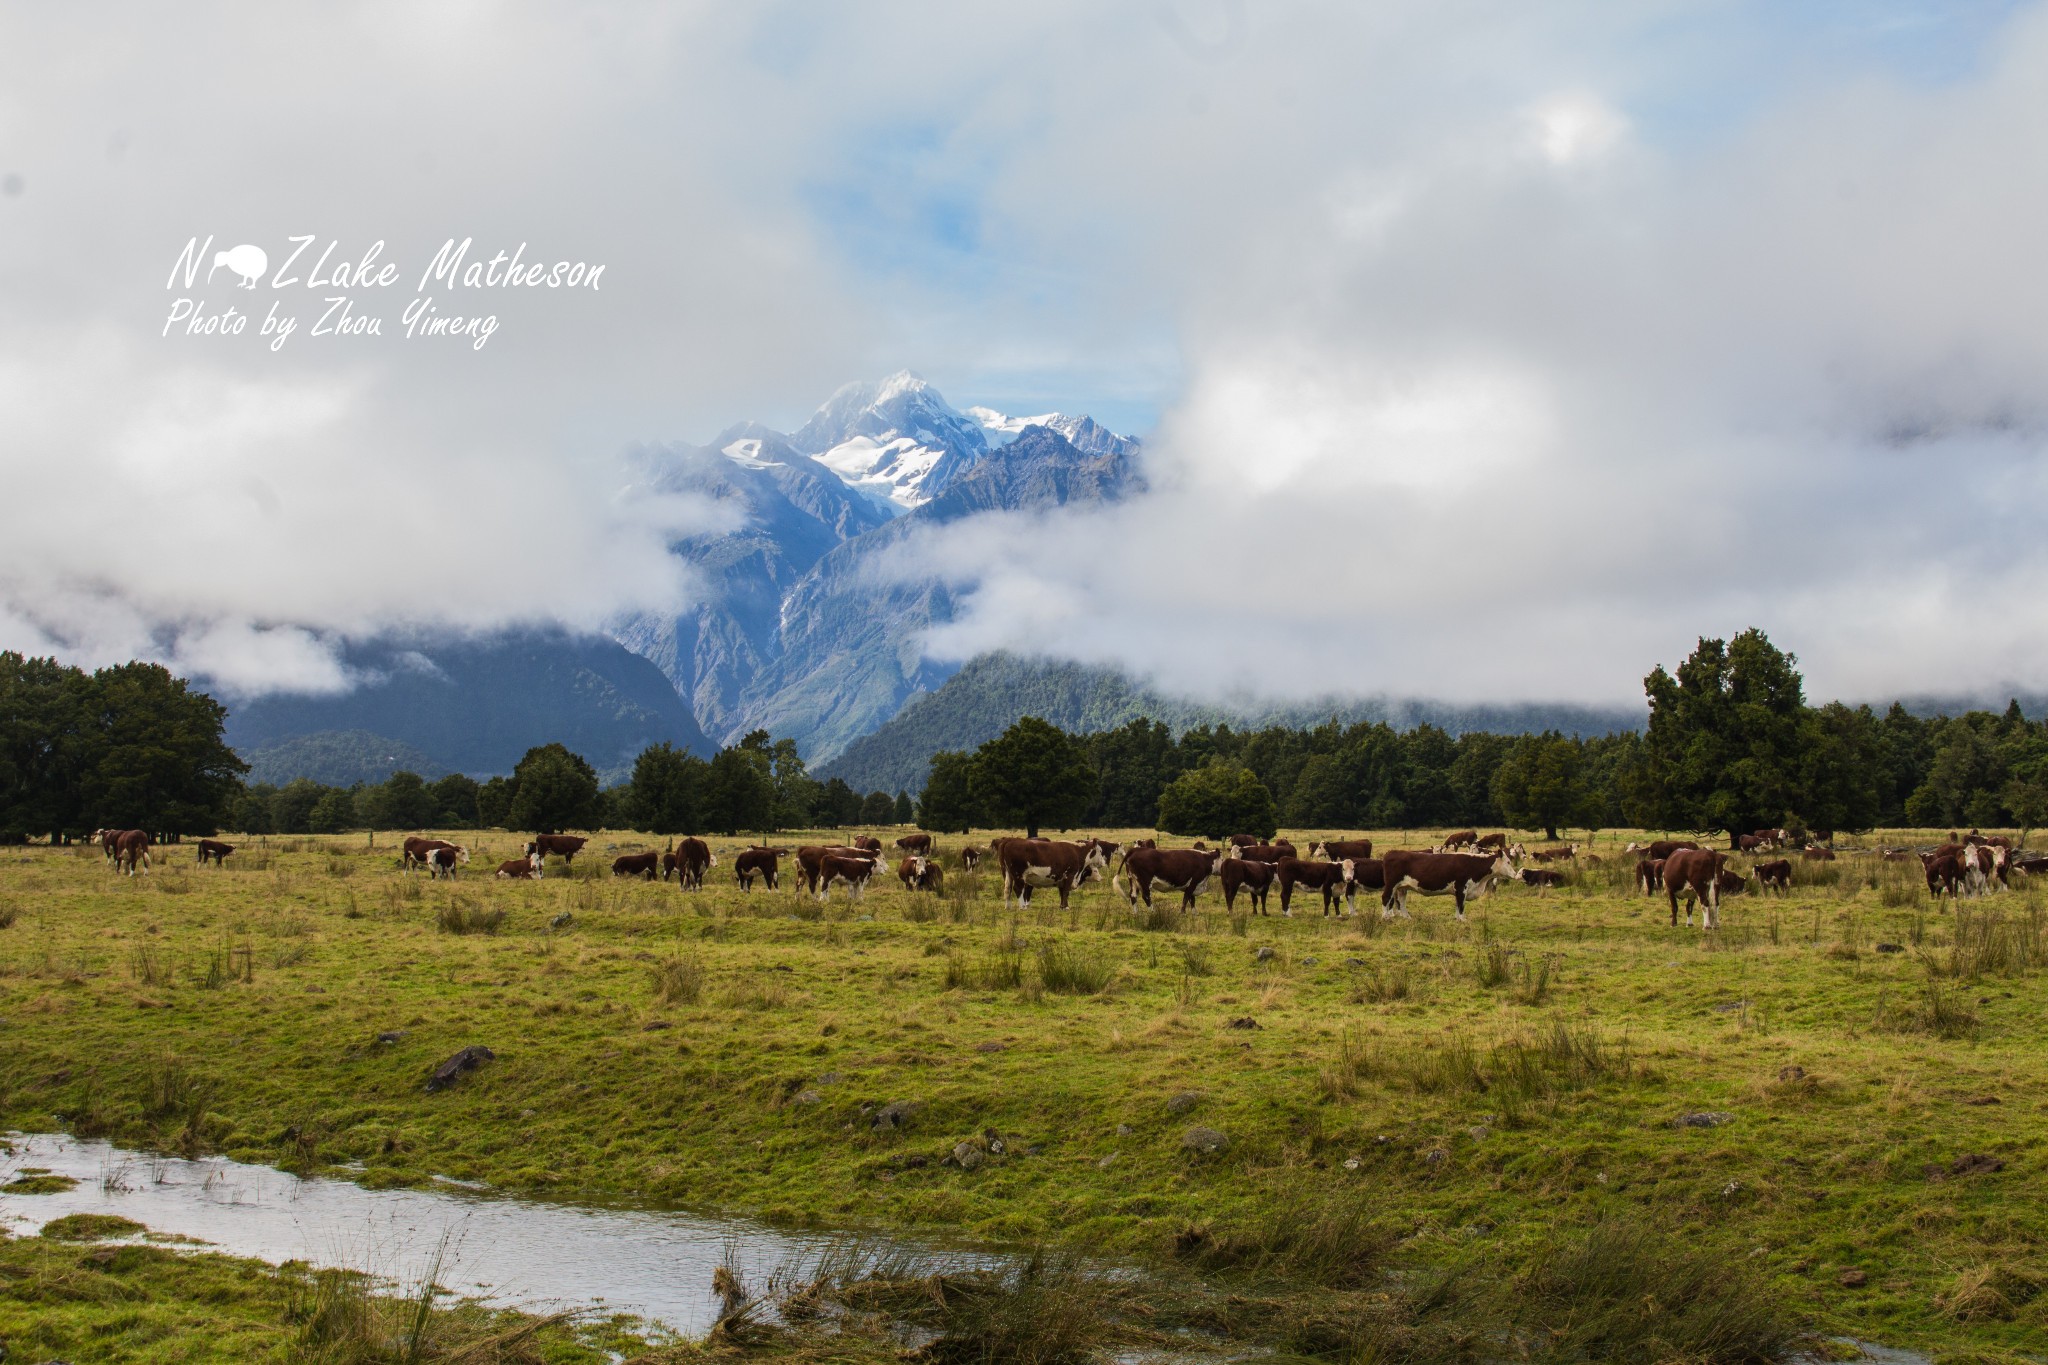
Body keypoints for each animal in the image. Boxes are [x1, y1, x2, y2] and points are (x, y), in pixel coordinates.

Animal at [1376, 847, 1523, 925]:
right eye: (1508, 862)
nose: (1514, 874)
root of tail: (1392, 852)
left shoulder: (1459, 890)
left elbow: (1457, 904)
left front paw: (1457, 918)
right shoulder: (1462, 887)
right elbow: (1461, 905)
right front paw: (1462, 919)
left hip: (1402, 887)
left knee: (1401, 900)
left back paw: (1407, 917)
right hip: (1391, 884)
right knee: (1385, 898)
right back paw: (1385, 917)